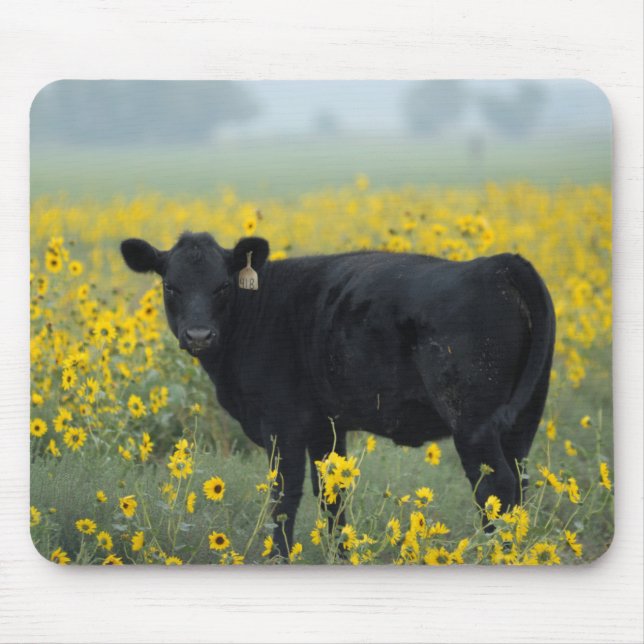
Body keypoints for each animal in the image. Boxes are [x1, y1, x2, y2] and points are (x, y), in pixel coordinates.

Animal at [121, 232, 555, 556]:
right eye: (170, 286)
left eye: (223, 286)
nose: (198, 335)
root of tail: (497, 263)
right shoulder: (324, 426)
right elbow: (333, 495)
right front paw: (341, 555)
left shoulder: (281, 424)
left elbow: (285, 496)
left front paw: (279, 558)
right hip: (523, 420)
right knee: (518, 485)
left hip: (472, 422)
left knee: (495, 489)